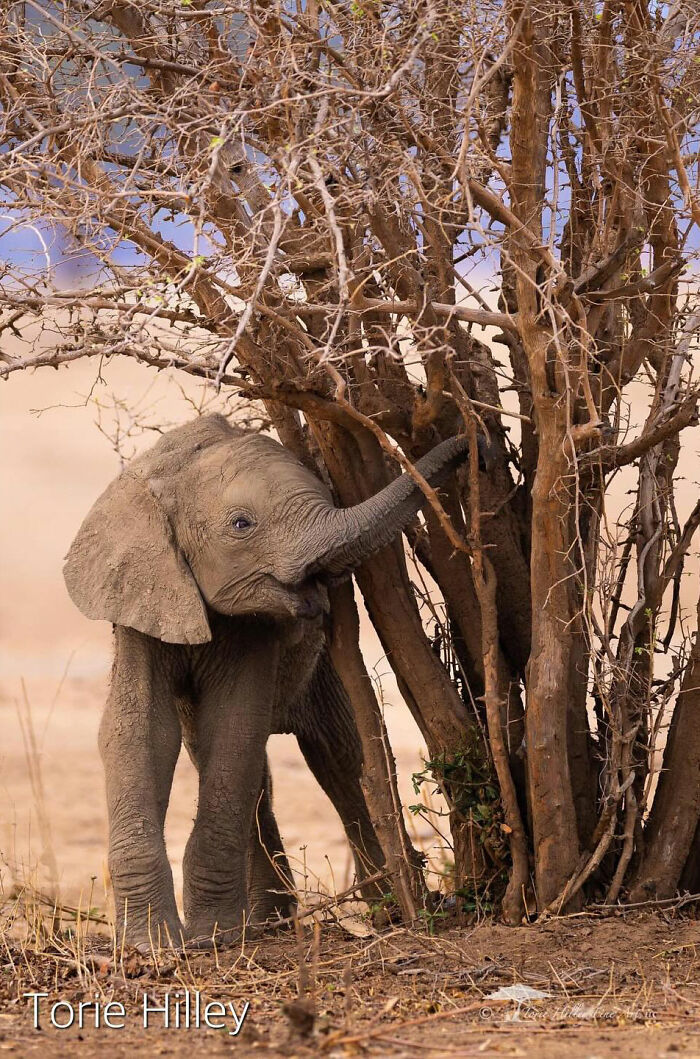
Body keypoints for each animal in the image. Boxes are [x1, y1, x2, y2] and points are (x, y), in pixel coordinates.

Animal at [64, 414, 469, 950]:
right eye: (242, 525)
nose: (473, 439)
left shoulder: (256, 625)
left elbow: (234, 728)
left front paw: (210, 938)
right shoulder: (143, 596)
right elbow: (141, 732)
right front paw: (154, 945)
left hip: (325, 671)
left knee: (339, 757)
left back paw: (384, 910)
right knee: (238, 762)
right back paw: (264, 923)